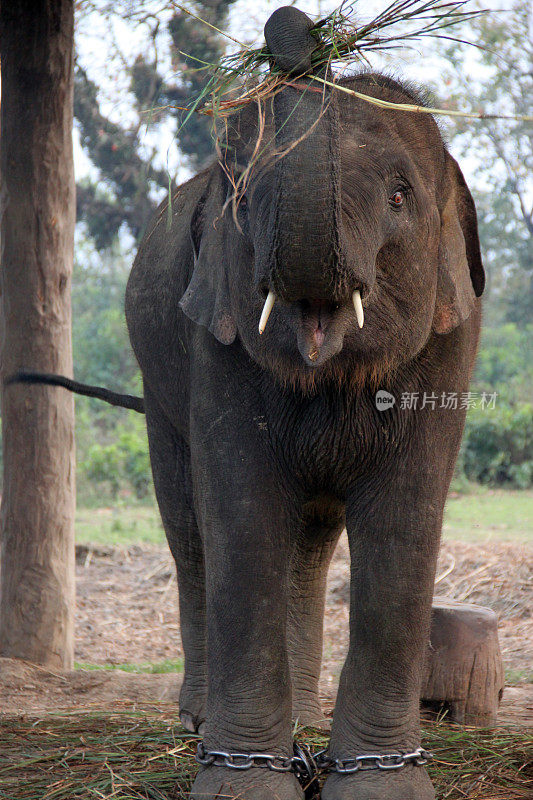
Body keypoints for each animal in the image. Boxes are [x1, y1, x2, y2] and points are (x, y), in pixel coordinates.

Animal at [9, 6, 482, 800]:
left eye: (399, 196)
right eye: (243, 199)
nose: (306, 40)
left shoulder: (451, 342)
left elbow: (405, 516)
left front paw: (380, 785)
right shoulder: (214, 336)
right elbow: (241, 508)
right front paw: (241, 783)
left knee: (310, 541)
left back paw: (304, 718)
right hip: (159, 391)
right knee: (191, 528)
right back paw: (204, 723)